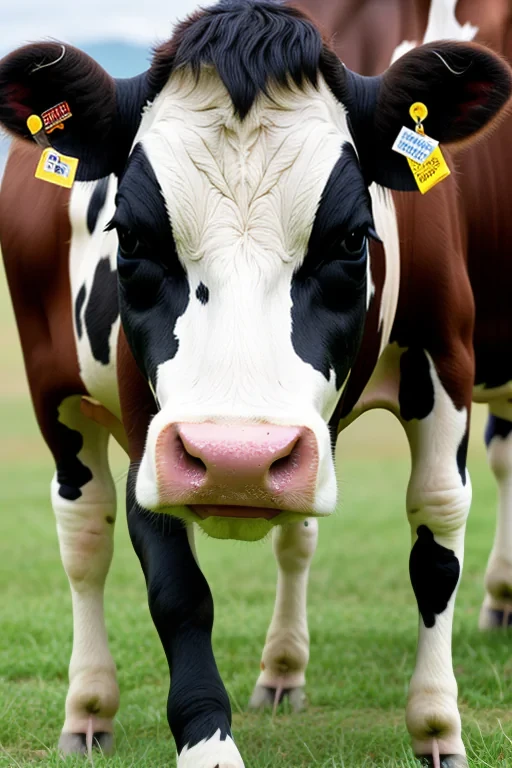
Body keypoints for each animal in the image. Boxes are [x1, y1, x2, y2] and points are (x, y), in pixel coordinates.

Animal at [0, 1, 511, 766]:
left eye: (352, 240)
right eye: (133, 238)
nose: (235, 461)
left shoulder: (445, 353)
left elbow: (437, 533)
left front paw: (435, 722)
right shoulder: (149, 425)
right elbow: (176, 583)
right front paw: (208, 742)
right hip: (55, 394)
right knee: (86, 537)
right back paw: (93, 705)